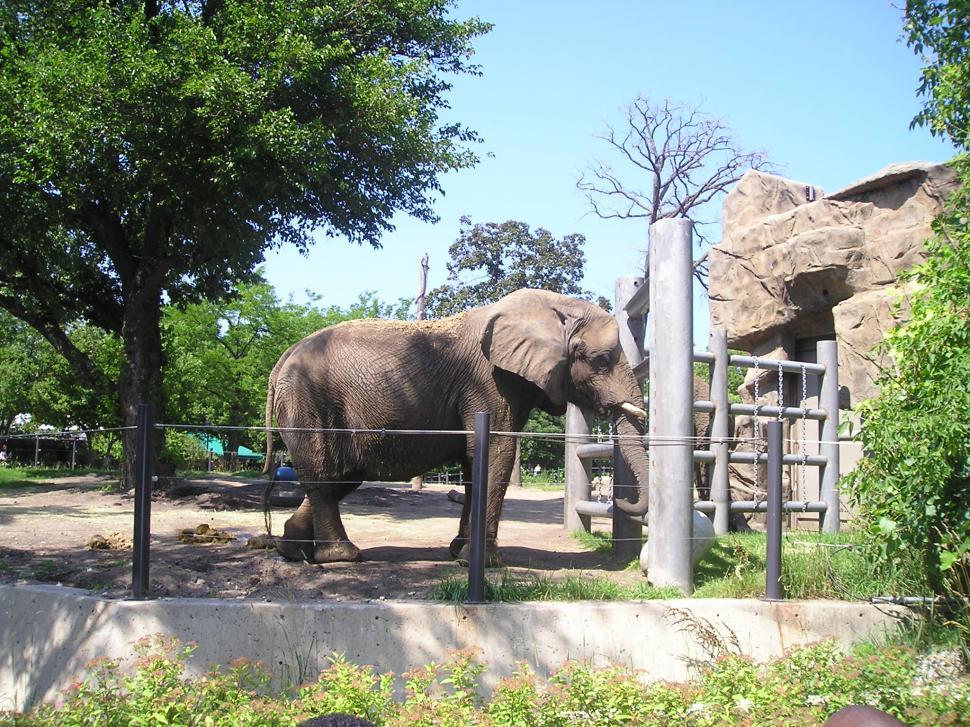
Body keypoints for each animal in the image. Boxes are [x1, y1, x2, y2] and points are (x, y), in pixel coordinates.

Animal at [262, 288, 651, 564]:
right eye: (602, 361)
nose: (616, 497)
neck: (550, 307)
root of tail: (281, 360)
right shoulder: (488, 380)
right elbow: (497, 451)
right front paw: (485, 562)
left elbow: (474, 461)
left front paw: (459, 553)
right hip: (309, 403)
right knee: (325, 474)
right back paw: (341, 556)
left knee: (340, 476)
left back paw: (291, 550)